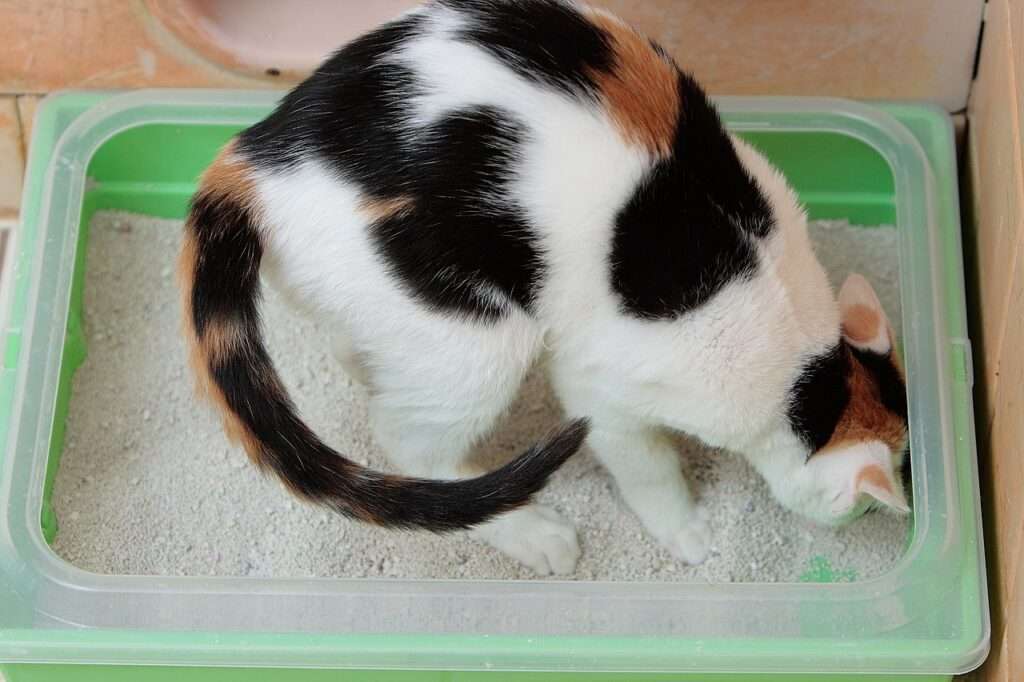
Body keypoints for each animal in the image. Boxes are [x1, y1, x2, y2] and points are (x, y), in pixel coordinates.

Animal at [180, 0, 909, 573]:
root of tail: (257, 156)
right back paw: (532, 534)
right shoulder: (605, 392)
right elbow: (647, 465)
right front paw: (686, 530)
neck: (809, 375)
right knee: (407, 441)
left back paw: (365, 365)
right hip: (480, 337)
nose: (859, 523)